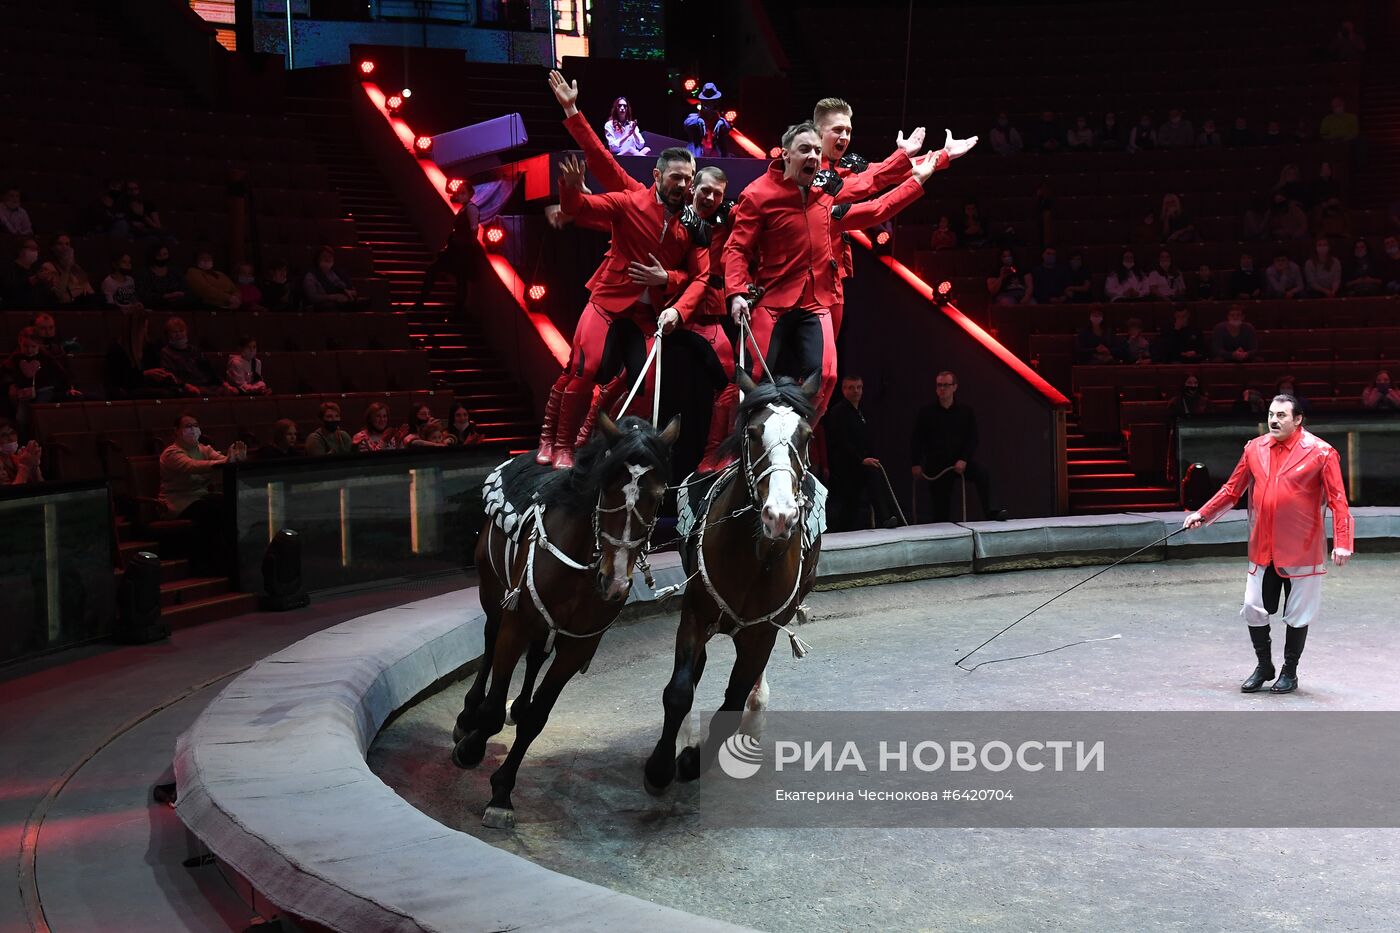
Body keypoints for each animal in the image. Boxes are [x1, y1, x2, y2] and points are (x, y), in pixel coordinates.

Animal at [456, 411, 680, 823]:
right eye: (606, 487)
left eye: (659, 496)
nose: (615, 582)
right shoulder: (517, 622)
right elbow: (493, 706)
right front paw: (471, 747)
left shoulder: (579, 645)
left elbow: (536, 718)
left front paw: (502, 791)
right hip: (492, 591)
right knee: (489, 641)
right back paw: (467, 717)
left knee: (536, 657)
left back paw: (516, 706)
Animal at [641, 369, 823, 790]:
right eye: (754, 433)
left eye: (806, 436)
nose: (780, 515)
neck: (754, 557)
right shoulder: (695, 613)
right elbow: (679, 692)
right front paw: (660, 766)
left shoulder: (762, 632)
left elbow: (734, 700)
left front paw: (695, 761)